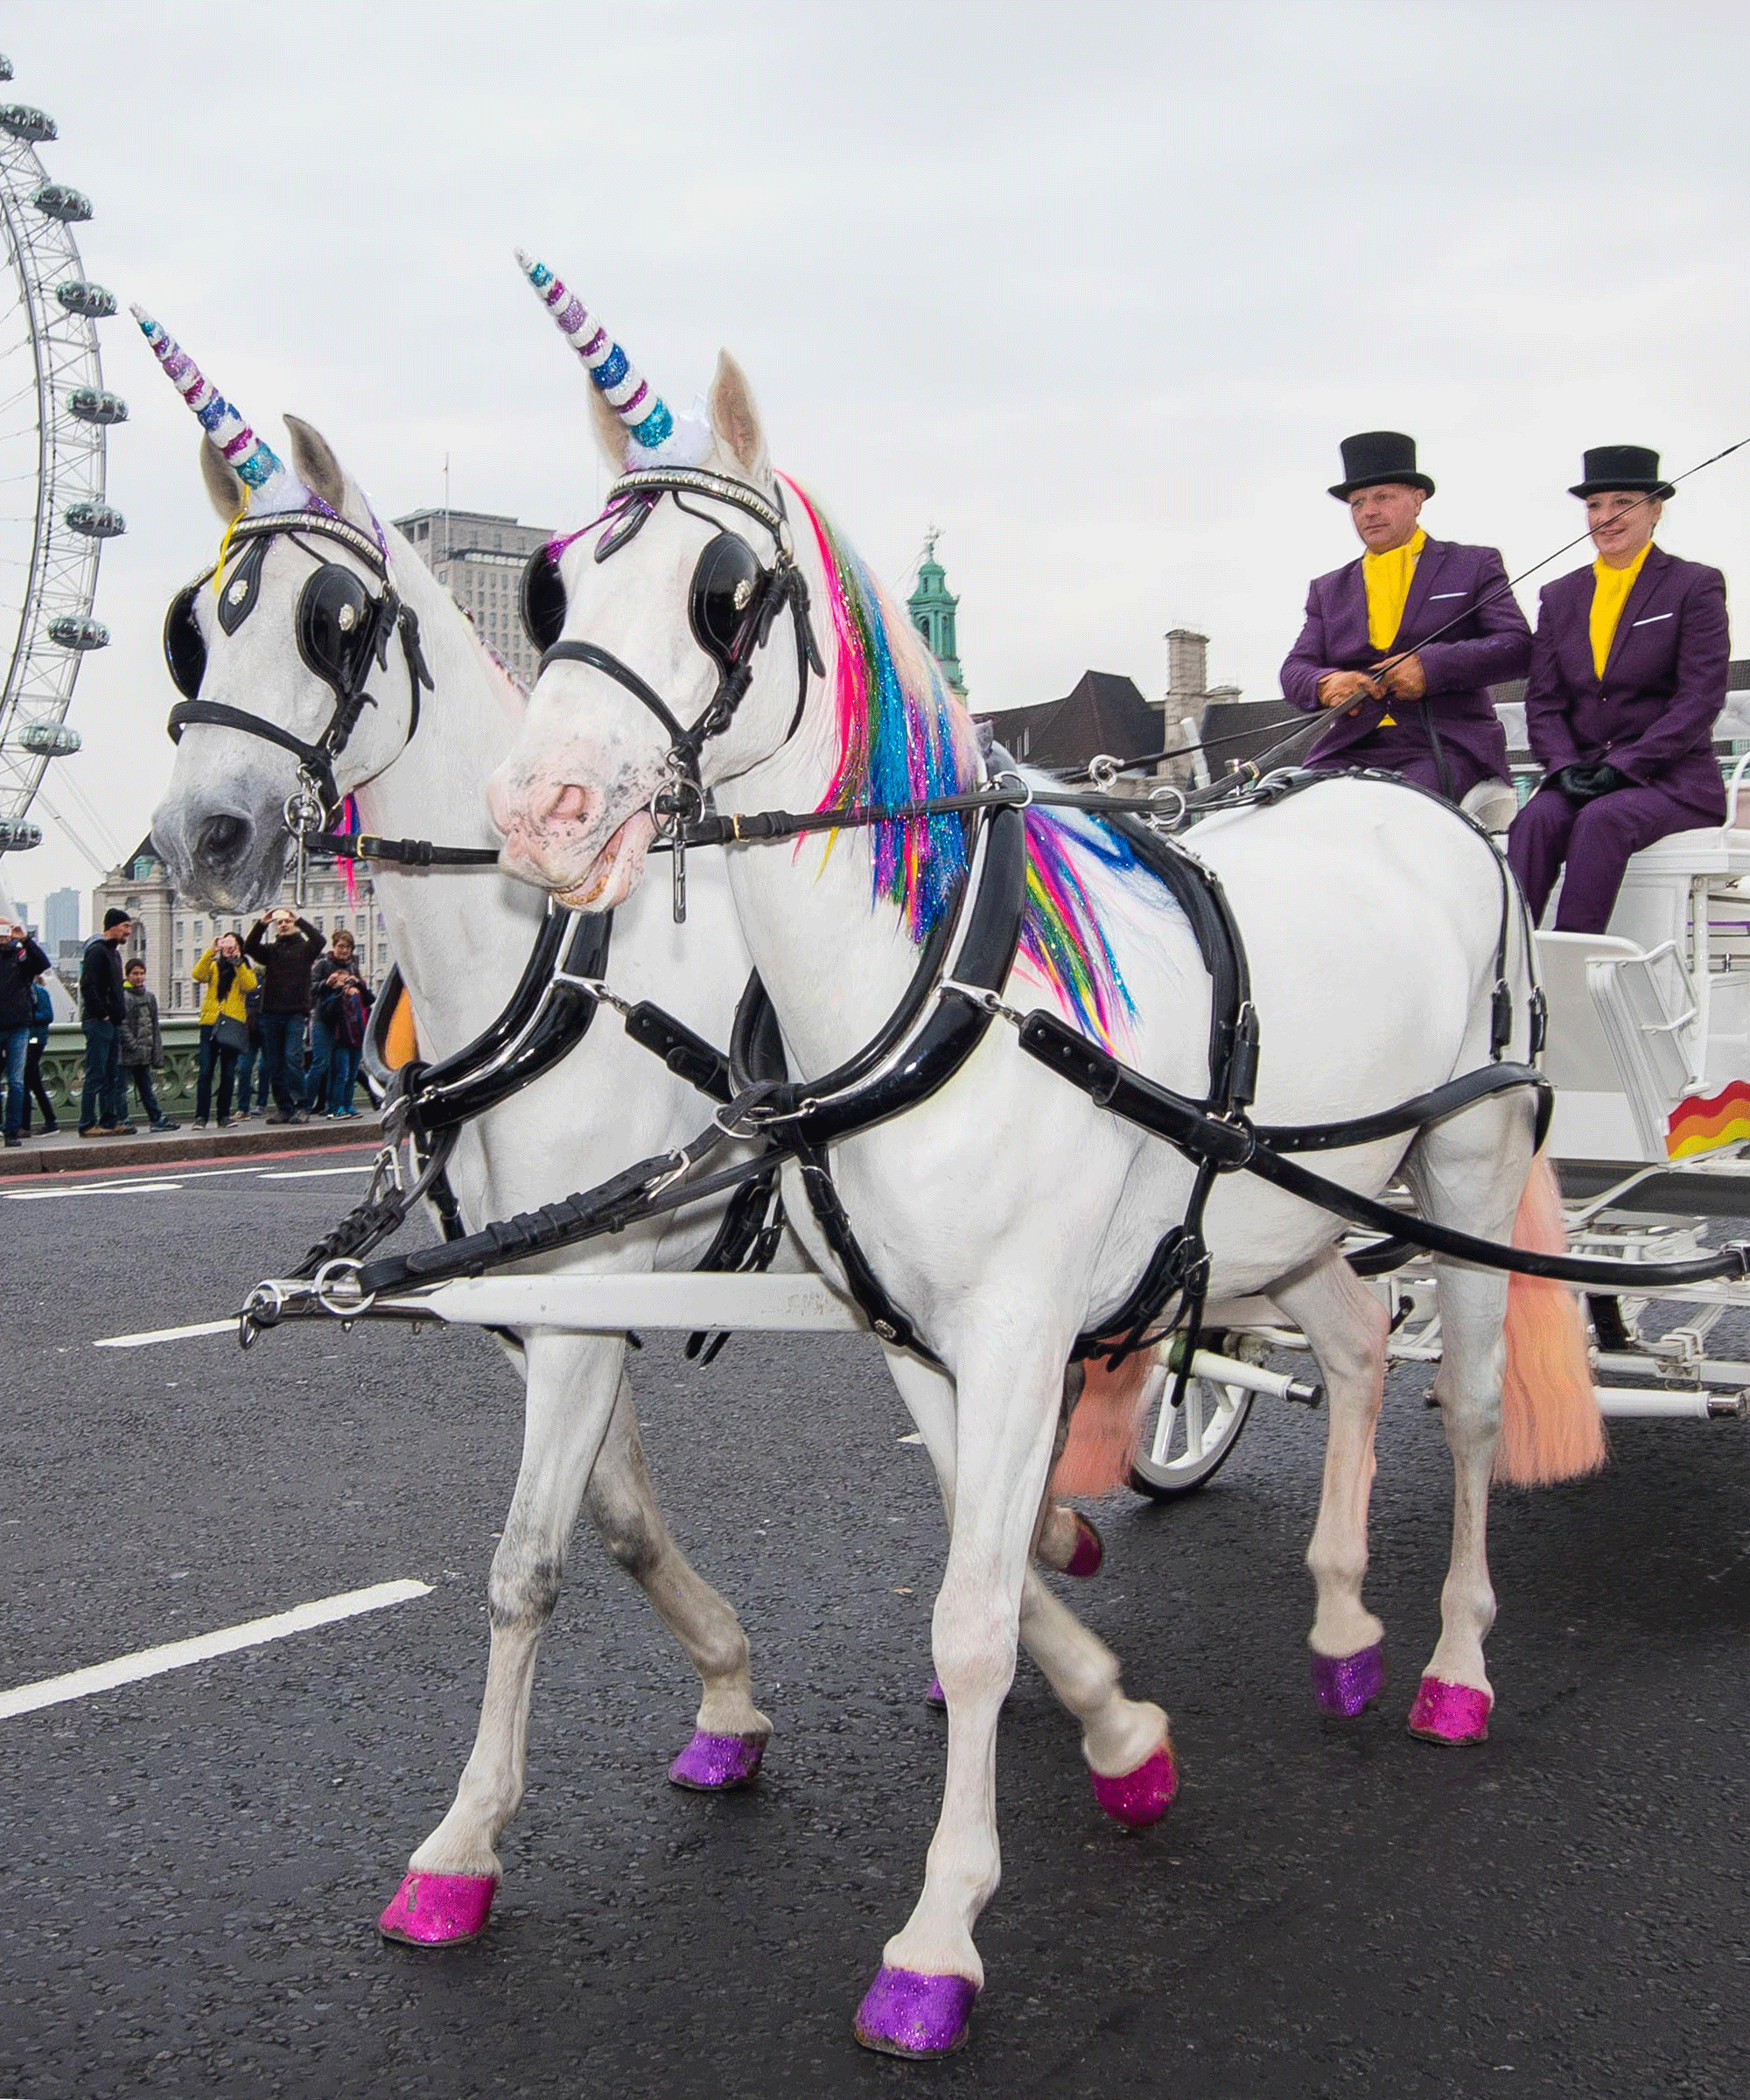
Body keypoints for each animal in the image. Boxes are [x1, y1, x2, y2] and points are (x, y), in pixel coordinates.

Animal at [486, 262, 1604, 2057]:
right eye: (558, 582)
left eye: (726, 594)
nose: (540, 810)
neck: (952, 983)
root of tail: (1437, 813)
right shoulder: (921, 1332)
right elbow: (988, 1555)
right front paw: (1123, 1742)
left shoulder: (1017, 1330)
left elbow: (971, 1617)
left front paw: (939, 1939)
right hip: (1291, 1208)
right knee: (1361, 1347)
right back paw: (1345, 1621)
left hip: (1470, 1163)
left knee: (1479, 1401)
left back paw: (1453, 1667)